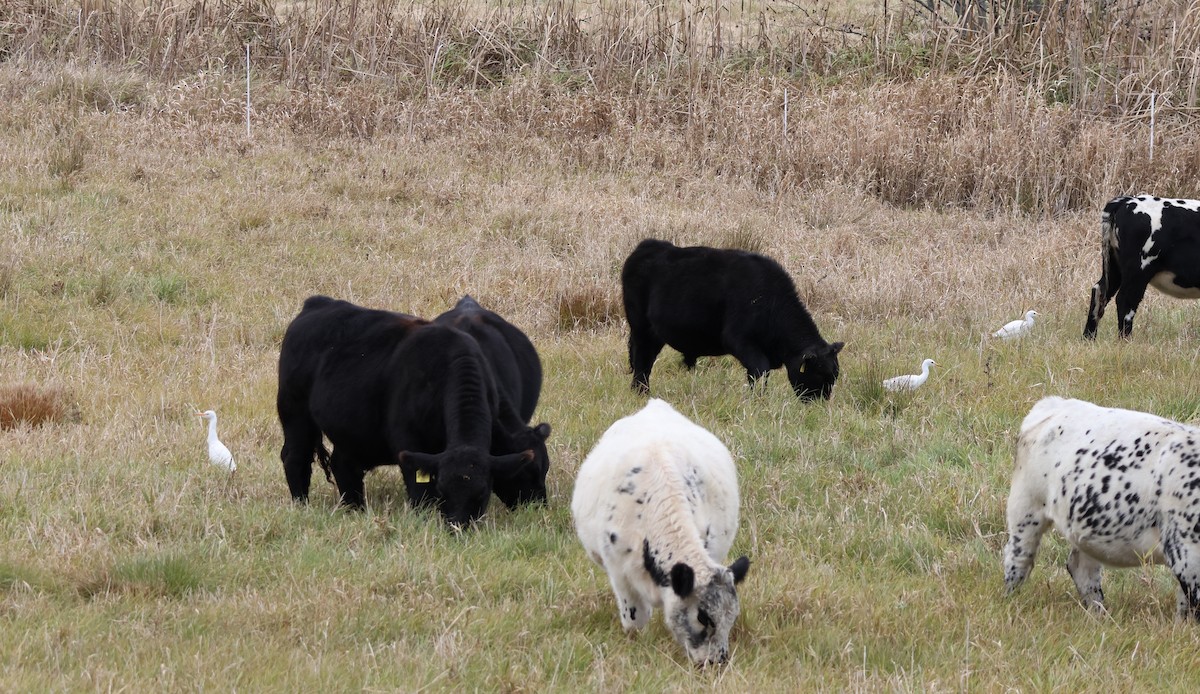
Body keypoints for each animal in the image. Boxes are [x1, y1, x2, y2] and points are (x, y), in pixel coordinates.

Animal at [276, 296, 551, 525]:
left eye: (482, 492)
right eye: (443, 490)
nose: (536, 508)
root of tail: (316, 303)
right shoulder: (409, 444)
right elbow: (421, 494)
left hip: (349, 430)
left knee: (342, 465)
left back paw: (355, 509)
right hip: (294, 411)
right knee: (295, 457)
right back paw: (302, 506)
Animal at [621, 239, 843, 400]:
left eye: (834, 376)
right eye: (819, 373)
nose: (820, 403)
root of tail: (649, 245)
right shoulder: (738, 339)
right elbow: (760, 369)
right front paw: (757, 400)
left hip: (655, 333)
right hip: (641, 328)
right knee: (642, 361)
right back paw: (641, 393)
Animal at [1003, 396, 1200, 619]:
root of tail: (1053, 404)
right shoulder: (1186, 550)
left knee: (1081, 567)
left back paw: (1098, 614)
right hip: (1026, 506)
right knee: (1018, 558)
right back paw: (1011, 599)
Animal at [1084, 194, 1200, 339]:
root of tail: (1127, 200)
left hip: (1114, 266)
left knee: (1099, 291)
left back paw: (1088, 338)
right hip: (1138, 269)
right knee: (1125, 301)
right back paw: (1126, 340)